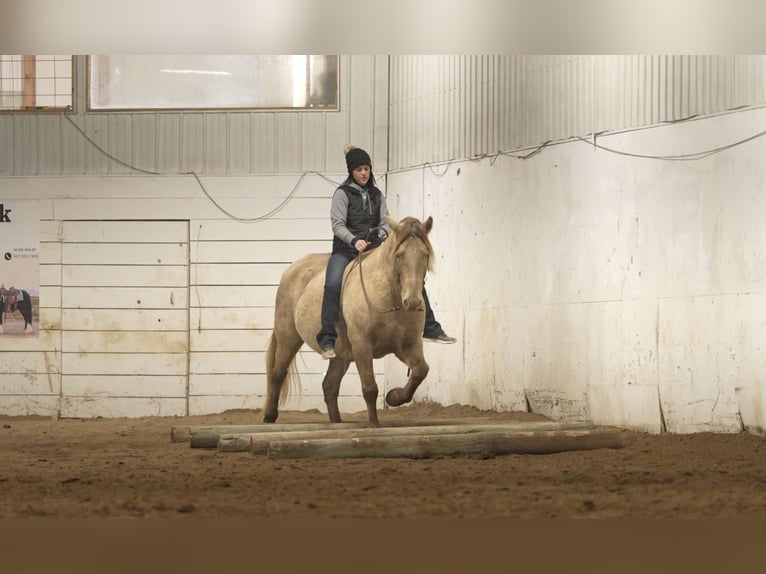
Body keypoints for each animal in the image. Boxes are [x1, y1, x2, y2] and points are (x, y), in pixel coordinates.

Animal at [263, 215, 435, 427]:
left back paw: (337, 422)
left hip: (340, 355)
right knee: (277, 374)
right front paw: (374, 425)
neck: (388, 299)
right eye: (399, 255)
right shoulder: (362, 345)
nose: (412, 302)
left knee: (329, 385)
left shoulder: (408, 345)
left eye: (425, 254)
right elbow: (370, 388)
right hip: (288, 338)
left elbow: (420, 371)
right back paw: (269, 417)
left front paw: (394, 397)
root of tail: (291, 270)